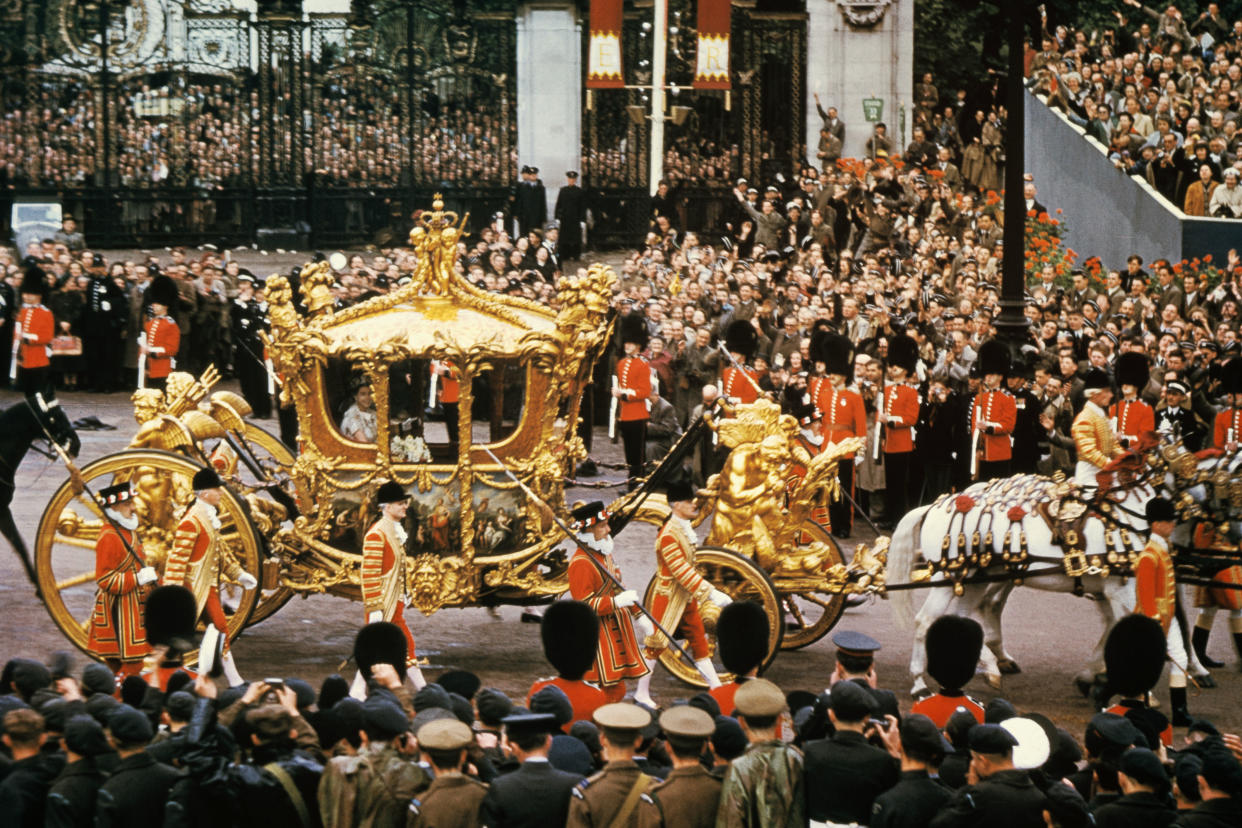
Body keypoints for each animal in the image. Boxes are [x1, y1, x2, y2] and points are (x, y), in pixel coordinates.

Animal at [889, 446, 1207, 695]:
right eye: (1193, 470)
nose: (1199, 512)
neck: (1123, 517)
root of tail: (935, 505)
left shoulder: (1115, 591)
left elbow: (1119, 627)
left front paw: (1093, 675)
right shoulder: (1121, 590)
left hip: (976, 577)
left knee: (965, 616)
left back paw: (988, 668)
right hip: (948, 577)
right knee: (925, 620)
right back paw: (919, 683)